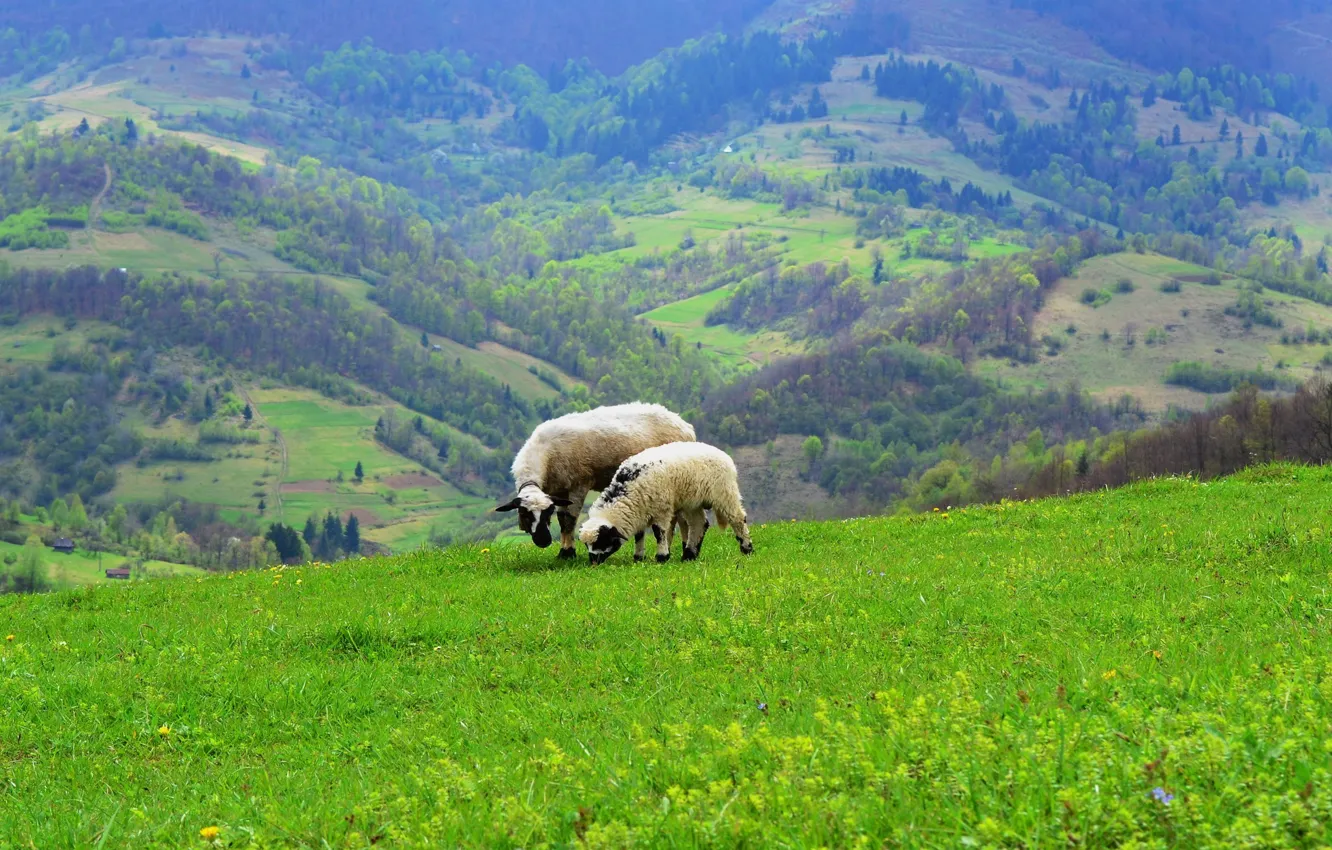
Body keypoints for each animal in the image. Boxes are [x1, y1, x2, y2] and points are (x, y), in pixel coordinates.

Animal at [495, 405, 692, 559]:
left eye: (546, 513)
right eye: (525, 513)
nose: (544, 541)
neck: (543, 454)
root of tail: (685, 424)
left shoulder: (579, 484)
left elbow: (569, 520)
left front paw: (568, 553)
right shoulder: (559, 490)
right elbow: (562, 520)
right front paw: (563, 552)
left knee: (678, 519)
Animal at [580, 442, 756, 570]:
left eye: (601, 541)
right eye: (586, 544)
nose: (593, 562)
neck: (629, 489)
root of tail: (724, 455)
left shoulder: (661, 509)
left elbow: (659, 532)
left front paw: (661, 557)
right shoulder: (640, 511)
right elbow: (639, 534)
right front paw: (639, 557)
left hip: (724, 492)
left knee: (737, 518)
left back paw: (747, 549)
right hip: (692, 500)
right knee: (699, 524)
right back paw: (689, 555)